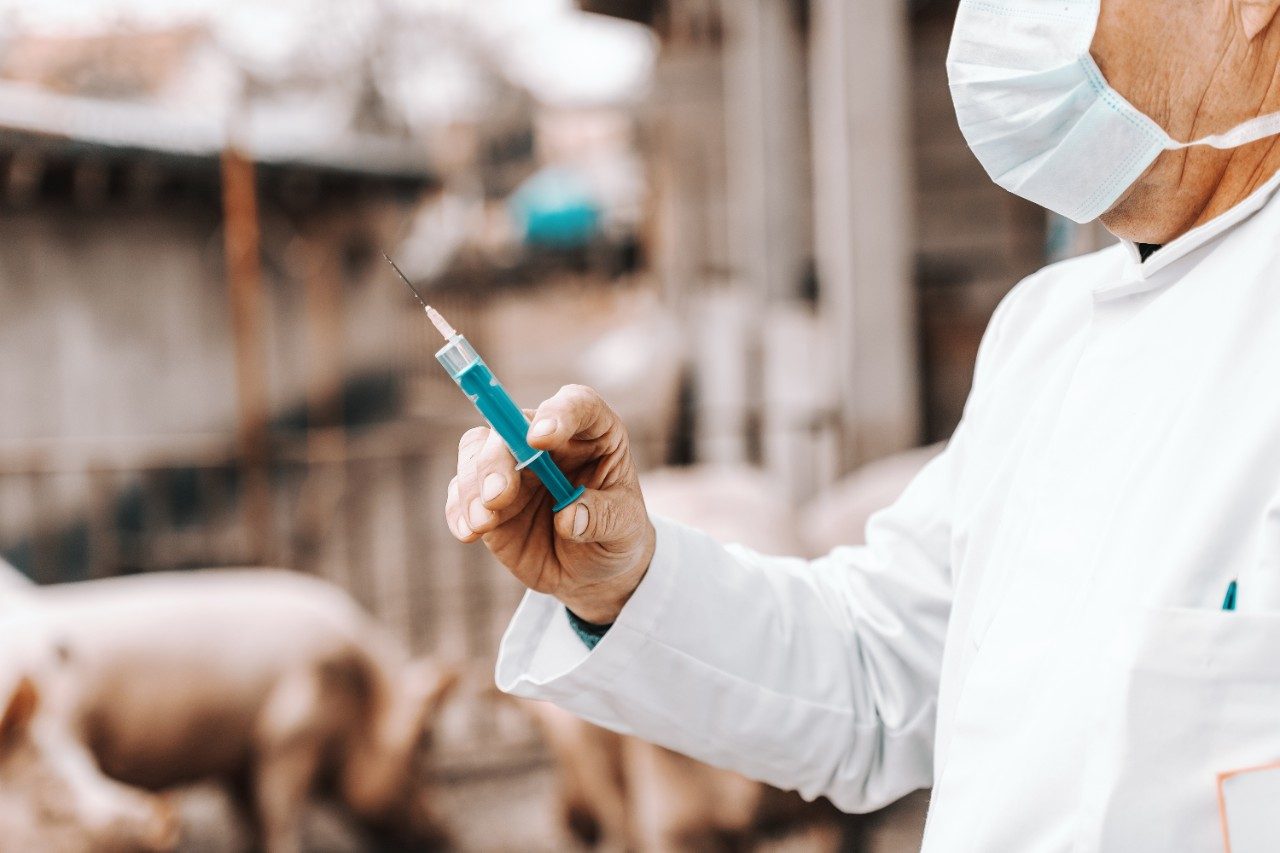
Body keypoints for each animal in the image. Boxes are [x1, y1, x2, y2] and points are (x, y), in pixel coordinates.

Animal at [27, 568, 460, 850]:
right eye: (423, 745)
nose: (446, 832)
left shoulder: (239, 757)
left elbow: (249, 817)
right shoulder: (289, 735)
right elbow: (280, 814)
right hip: (58, 731)